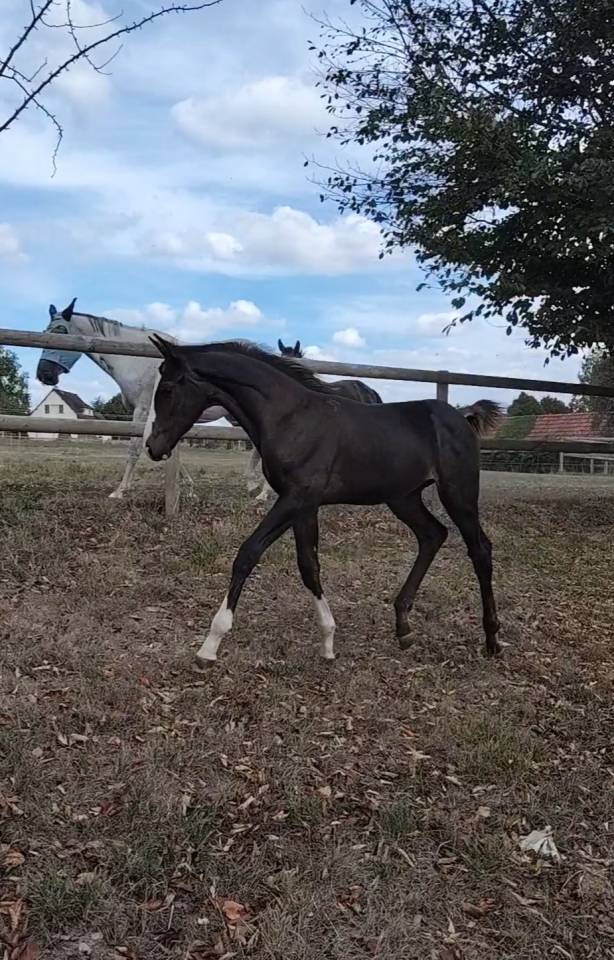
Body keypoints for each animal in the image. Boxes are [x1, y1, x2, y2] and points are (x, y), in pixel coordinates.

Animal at [36, 299, 226, 499]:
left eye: (61, 331)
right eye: (44, 333)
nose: (44, 375)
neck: (139, 361)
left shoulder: (142, 410)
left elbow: (135, 447)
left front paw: (120, 491)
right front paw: (189, 488)